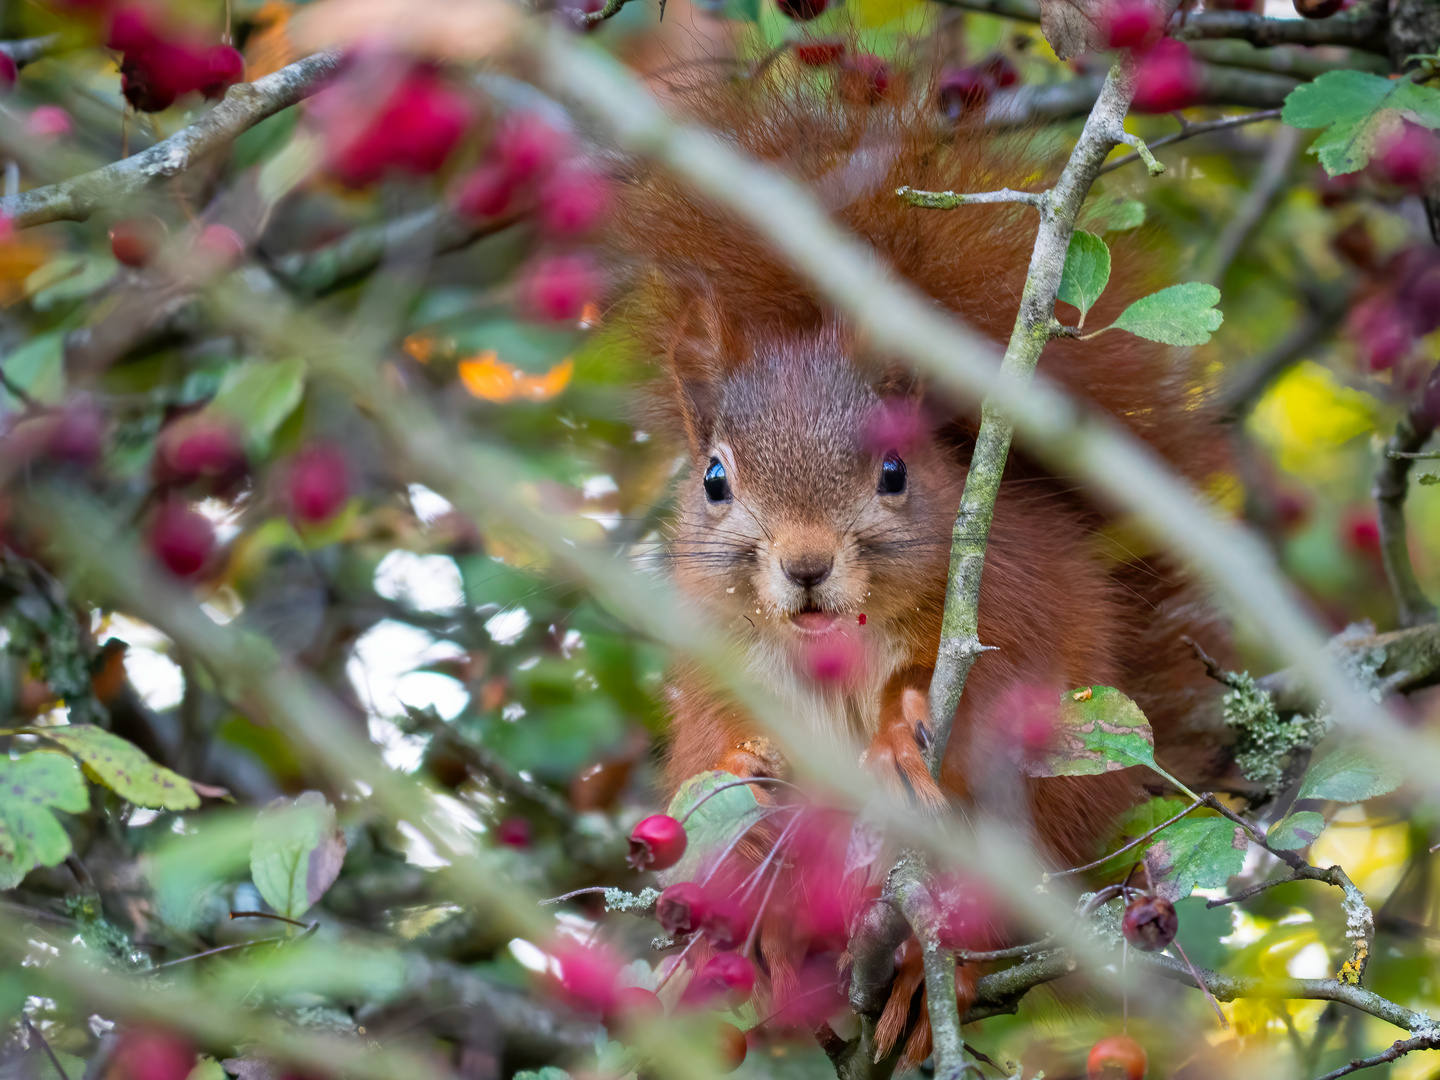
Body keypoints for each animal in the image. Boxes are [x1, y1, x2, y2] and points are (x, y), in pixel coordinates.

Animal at [601, 57, 1232, 1065]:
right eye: (713, 480)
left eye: (894, 470)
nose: (807, 565)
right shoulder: (717, 657)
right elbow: (712, 741)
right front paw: (743, 768)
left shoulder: (1009, 598)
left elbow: (988, 679)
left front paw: (900, 735)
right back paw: (780, 954)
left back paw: (929, 981)